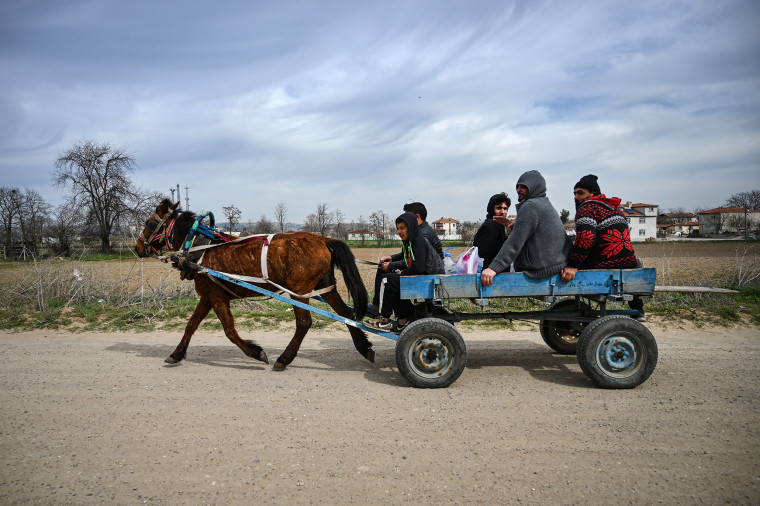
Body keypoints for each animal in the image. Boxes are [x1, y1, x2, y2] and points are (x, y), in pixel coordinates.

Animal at [137, 200, 374, 370]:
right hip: (326, 288)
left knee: (304, 323)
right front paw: (176, 354)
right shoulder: (207, 297)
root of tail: (324, 239)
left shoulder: (217, 298)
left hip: (299, 291)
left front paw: (256, 352)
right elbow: (191, 325)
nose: (137, 247)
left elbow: (229, 331)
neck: (201, 249)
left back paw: (284, 358)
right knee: (346, 314)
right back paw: (364, 347)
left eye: (149, 223)